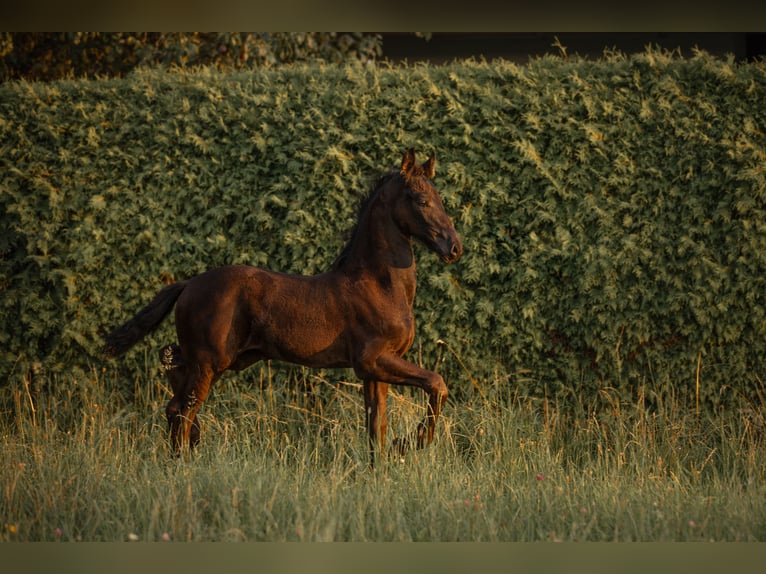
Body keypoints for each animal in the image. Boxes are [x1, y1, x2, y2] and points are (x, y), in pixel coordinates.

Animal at [102, 148, 463, 465]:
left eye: (440, 198)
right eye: (421, 199)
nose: (454, 247)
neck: (378, 284)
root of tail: (188, 284)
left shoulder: (375, 371)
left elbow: (377, 428)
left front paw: (383, 469)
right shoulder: (372, 360)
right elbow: (437, 384)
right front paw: (412, 441)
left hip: (214, 361)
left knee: (174, 387)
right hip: (209, 362)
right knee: (182, 410)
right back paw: (183, 466)